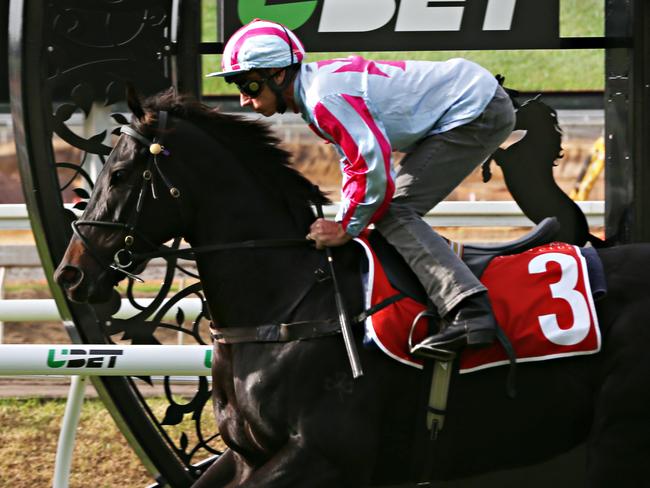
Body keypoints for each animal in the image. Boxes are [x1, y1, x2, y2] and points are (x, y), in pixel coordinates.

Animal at [53, 89, 648, 486]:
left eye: (122, 174)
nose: (70, 274)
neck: (285, 306)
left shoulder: (322, 456)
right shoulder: (244, 454)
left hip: (617, 437)